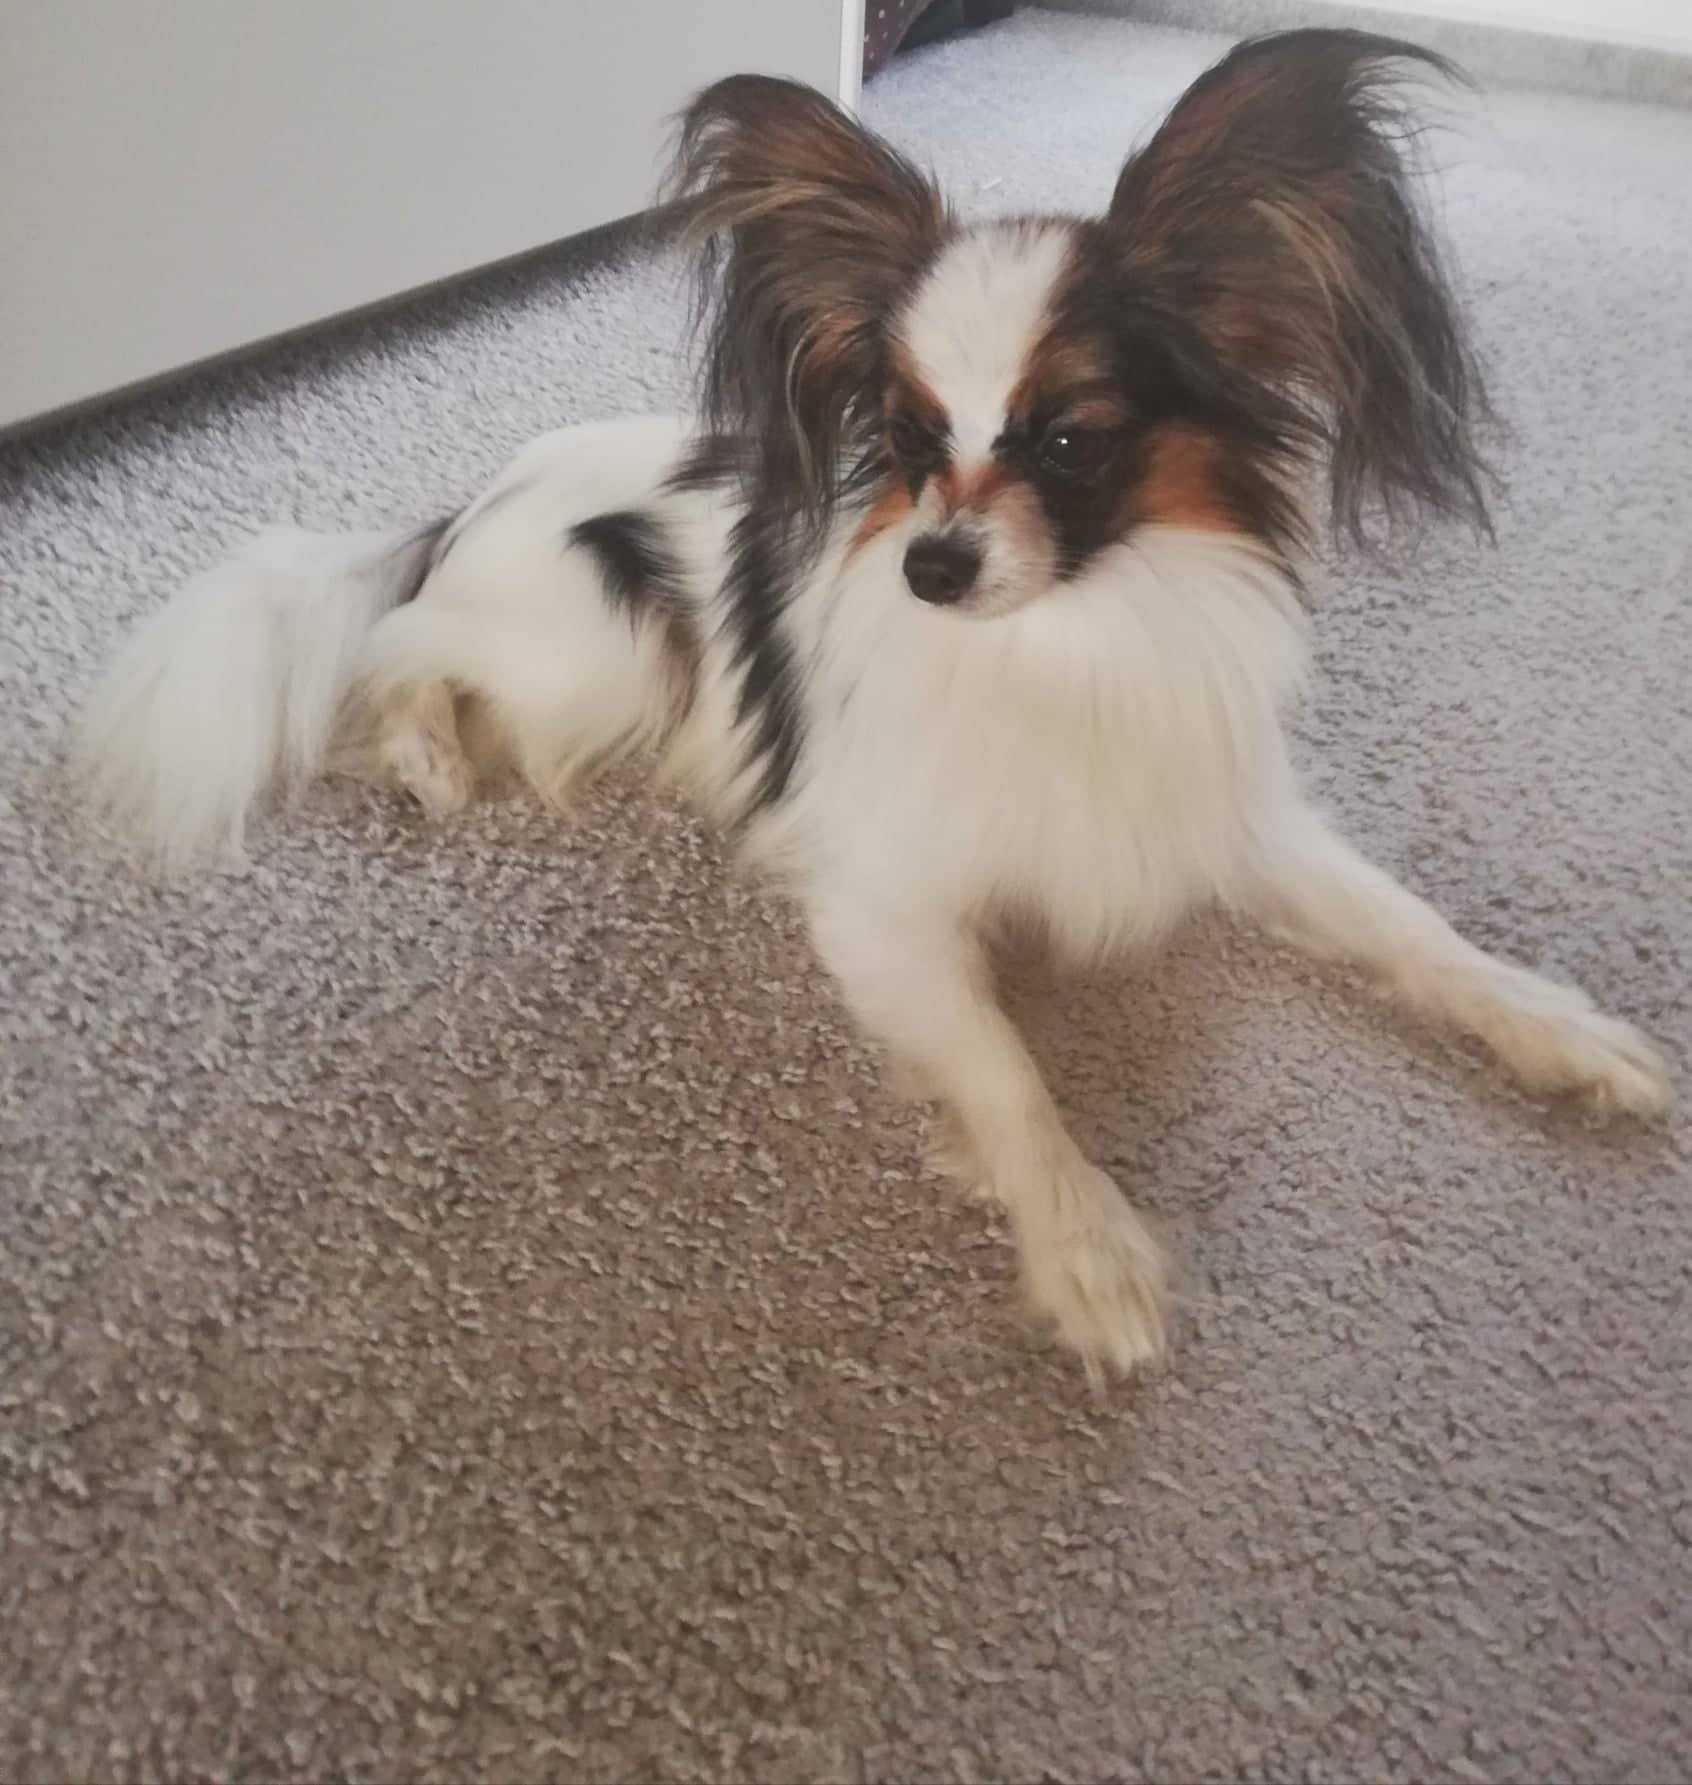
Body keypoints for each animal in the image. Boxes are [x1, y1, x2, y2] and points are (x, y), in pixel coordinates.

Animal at [73, 30, 1670, 1377]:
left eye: (1071, 441)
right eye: (904, 437)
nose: (932, 563)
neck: (1065, 641)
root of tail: (476, 501)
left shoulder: (1220, 816)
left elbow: (1415, 929)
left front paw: (1562, 1031)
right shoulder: (884, 909)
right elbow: (1012, 1074)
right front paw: (1087, 1251)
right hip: (586, 651)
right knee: (398, 644)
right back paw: (426, 756)